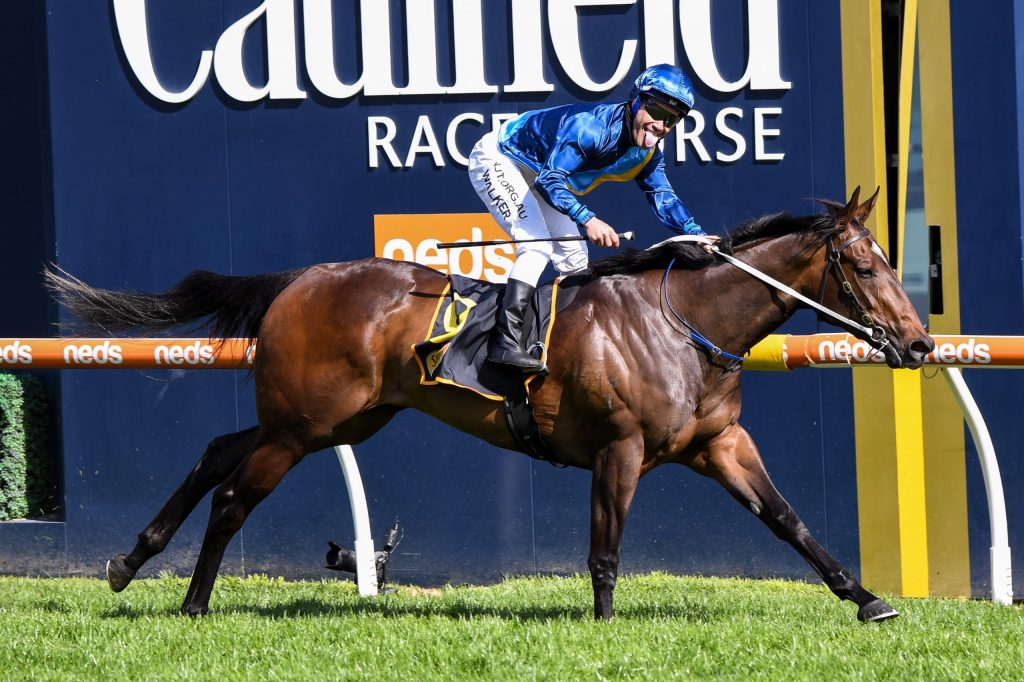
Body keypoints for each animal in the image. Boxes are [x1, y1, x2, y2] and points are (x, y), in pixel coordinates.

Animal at [47, 187, 933, 622]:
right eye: (863, 264)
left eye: (891, 258)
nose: (922, 345)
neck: (684, 323)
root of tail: (298, 279)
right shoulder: (618, 448)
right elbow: (604, 550)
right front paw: (604, 626)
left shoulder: (721, 444)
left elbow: (791, 523)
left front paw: (869, 601)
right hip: (302, 426)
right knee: (234, 497)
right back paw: (193, 603)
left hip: (329, 419)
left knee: (214, 453)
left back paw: (129, 561)